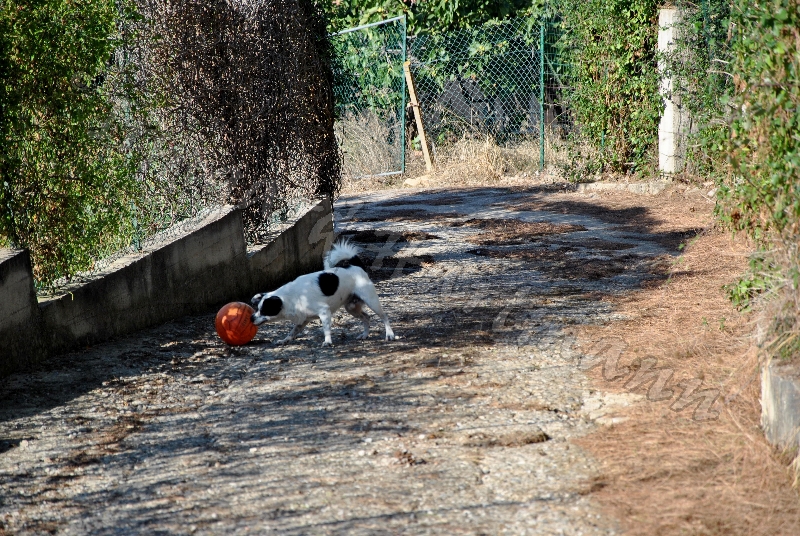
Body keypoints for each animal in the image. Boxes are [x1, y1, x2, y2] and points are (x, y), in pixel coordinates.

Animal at [252, 241, 396, 346]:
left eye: (264, 310)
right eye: (257, 308)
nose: (251, 318)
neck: (291, 298)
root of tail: (355, 265)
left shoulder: (324, 312)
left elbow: (326, 329)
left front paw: (327, 341)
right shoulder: (303, 319)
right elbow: (293, 331)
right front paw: (285, 340)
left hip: (371, 301)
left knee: (384, 316)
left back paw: (390, 334)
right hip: (351, 307)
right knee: (367, 317)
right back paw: (365, 335)